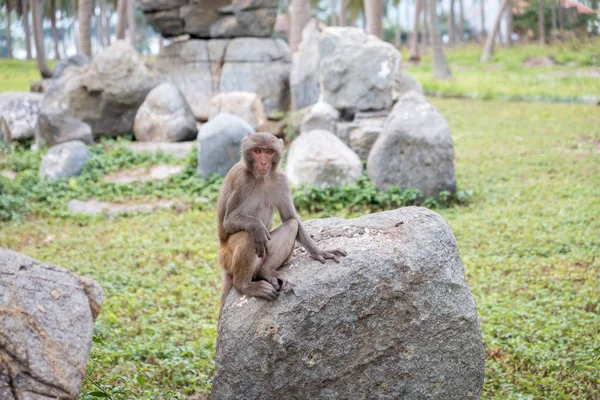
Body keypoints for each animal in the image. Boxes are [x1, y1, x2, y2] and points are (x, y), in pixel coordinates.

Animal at [216, 131, 346, 316]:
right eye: (257, 151)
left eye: (269, 152)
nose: (263, 162)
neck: (261, 178)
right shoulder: (242, 181)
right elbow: (228, 222)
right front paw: (256, 226)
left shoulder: (281, 179)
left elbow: (290, 217)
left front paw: (318, 251)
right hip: (227, 257)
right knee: (247, 236)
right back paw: (245, 286)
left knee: (291, 225)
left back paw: (267, 272)